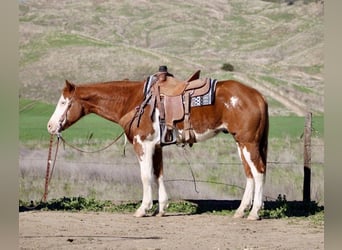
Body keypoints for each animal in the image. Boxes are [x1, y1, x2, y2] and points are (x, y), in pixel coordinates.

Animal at [47, 77, 268, 220]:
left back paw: (254, 213)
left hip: (248, 143)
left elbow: (145, 176)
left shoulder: (143, 144)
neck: (134, 101)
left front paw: (143, 209)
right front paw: (161, 208)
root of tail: (258, 96)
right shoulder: (157, 146)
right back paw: (240, 211)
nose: (50, 126)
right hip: (241, 144)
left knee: (258, 173)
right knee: (249, 174)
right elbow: (159, 175)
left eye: (63, 102)